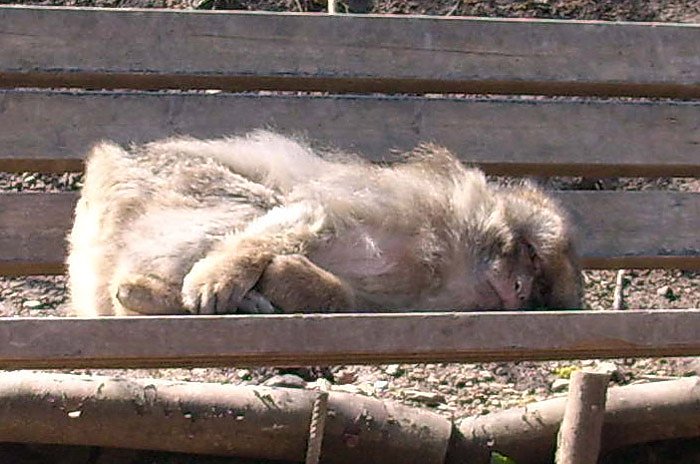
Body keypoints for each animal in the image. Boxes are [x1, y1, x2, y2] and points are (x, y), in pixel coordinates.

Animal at [67, 130, 582, 317]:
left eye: (538, 291)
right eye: (530, 254)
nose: (519, 290)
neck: (447, 260)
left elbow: (349, 298)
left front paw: (289, 278)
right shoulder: (408, 208)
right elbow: (309, 213)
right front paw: (227, 272)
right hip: (178, 184)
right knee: (256, 202)